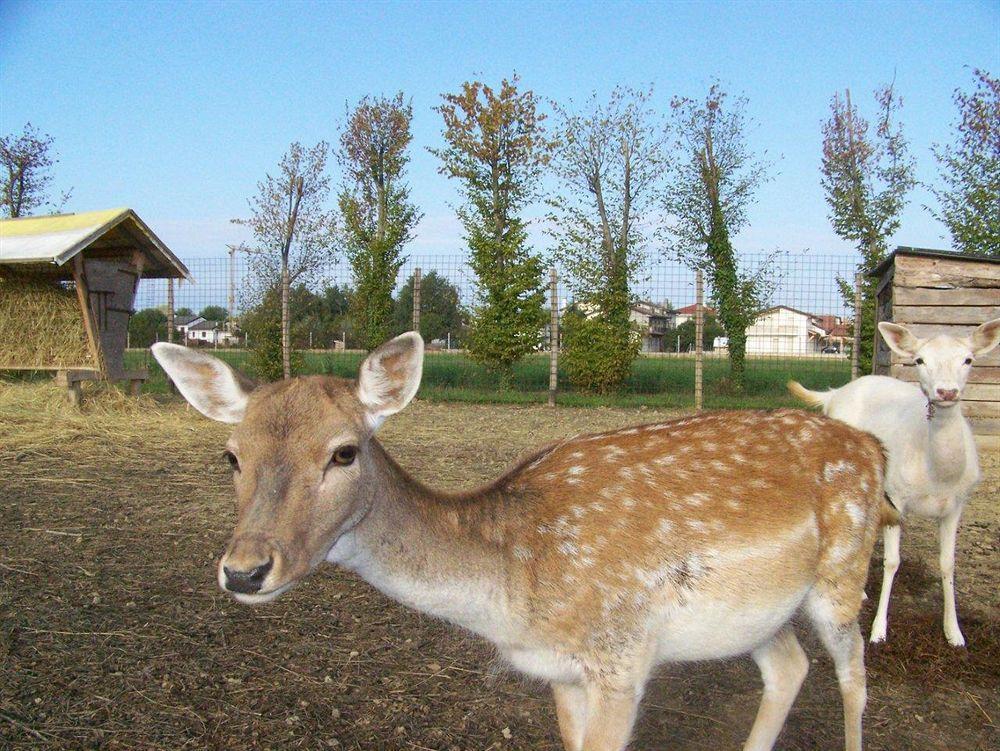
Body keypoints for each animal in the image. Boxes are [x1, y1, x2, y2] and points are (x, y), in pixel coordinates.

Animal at [152, 334, 888, 751]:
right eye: (230, 454)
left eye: (343, 451)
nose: (244, 569)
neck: (513, 593)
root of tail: (870, 444)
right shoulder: (560, 670)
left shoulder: (623, 654)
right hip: (758, 612)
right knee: (789, 667)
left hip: (844, 569)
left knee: (853, 675)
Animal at [792, 318, 996, 648]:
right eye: (920, 360)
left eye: (968, 360)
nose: (946, 391)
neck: (938, 476)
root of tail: (835, 393)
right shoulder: (898, 494)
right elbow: (892, 561)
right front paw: (878, 630)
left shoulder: (958, 504)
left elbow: (948, 562)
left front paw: (954, 633)